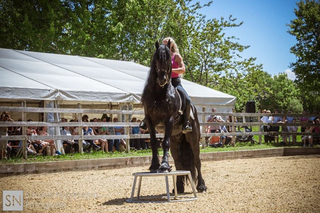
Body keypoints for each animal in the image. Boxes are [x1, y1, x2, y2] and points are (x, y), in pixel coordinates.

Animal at [141, 40, 206, 193]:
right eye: (156, 58)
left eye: (168, 60)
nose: (162, 79)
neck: (159, 93)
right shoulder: (150, 120)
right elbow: (154, 142)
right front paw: (154, 165)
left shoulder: (168, 120)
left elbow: (164, 143)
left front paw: (164, 166)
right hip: (176, 140)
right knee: (179, 163)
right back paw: (179, 187)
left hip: (193, 138)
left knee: (197, 161)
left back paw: (201, 186)